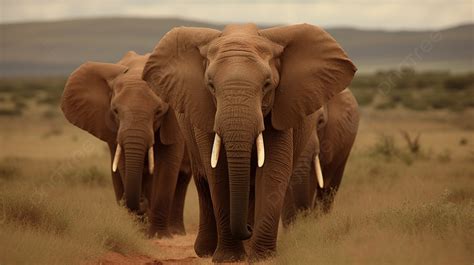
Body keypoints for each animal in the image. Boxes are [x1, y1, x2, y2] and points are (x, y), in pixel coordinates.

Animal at [60, 50, 191, 236]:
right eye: (115, 111)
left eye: (158, 112)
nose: (142, 202)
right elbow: (123, 164)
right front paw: (141, 232)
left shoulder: (174, 122)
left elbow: (167, 166)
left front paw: (159, 235)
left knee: (182, 178)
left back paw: (176, 232)